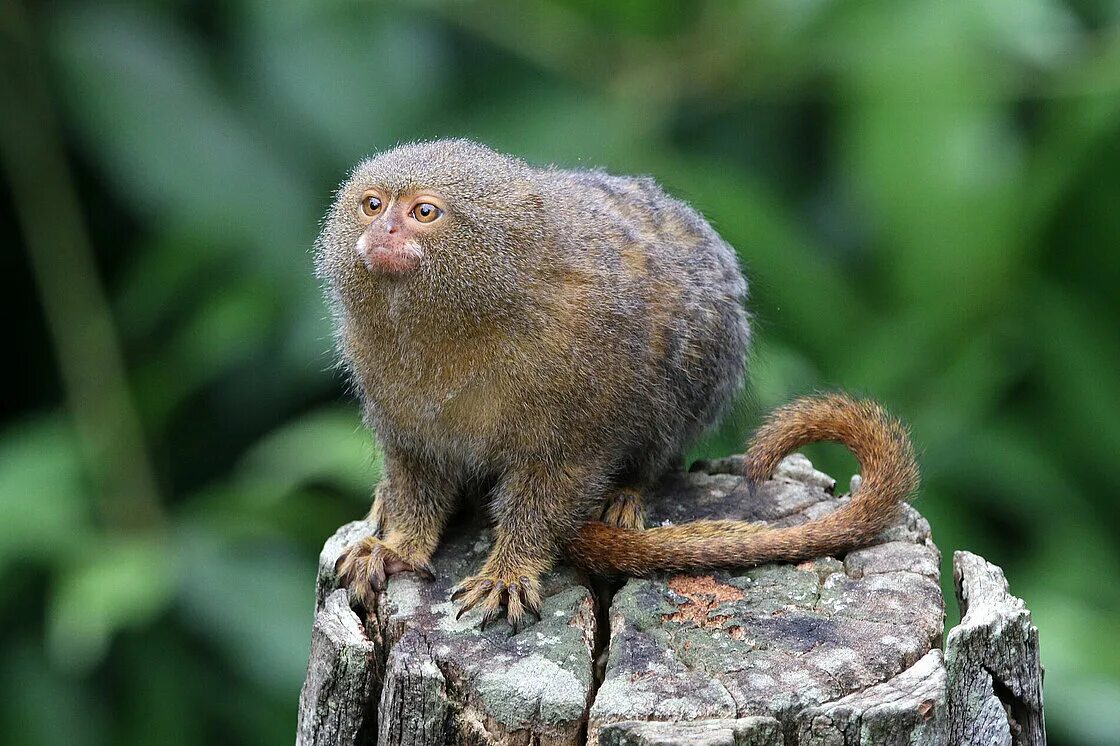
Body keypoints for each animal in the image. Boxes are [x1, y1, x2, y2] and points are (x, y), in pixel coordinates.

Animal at [315, 141, 918, 627]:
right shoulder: (393, 388)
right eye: (372, 204)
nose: (383, 230)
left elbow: (558, 474)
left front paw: (510, 570)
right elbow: (418, 466)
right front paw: (399, 546)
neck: (462, 322)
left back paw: (627, 491)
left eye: (423, 212)